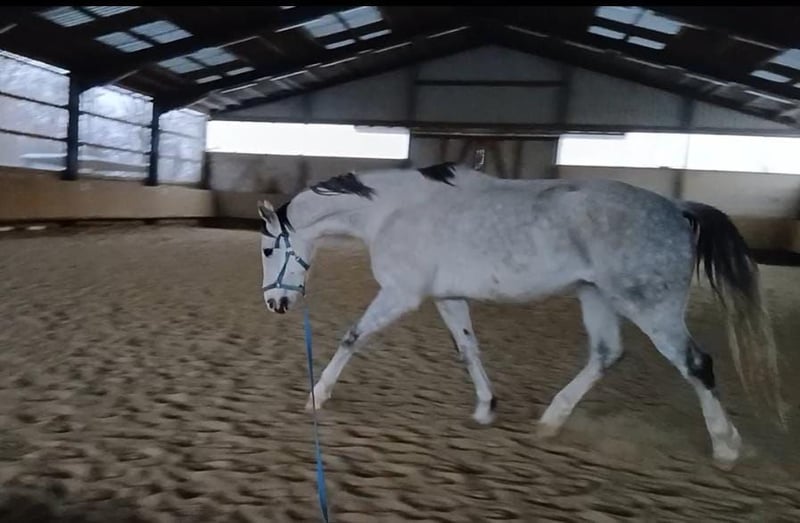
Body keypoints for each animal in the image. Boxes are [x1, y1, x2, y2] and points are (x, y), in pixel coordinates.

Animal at [257, 161, 785, 470]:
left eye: (266, 249)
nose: (275, 305)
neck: (392, 212)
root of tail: (677, 207)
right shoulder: (446, 297)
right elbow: (468, 349)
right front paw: (486, 408)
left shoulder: (401, 294)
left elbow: (352, 337)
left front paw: (316, 397)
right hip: (595, 296)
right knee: (606, 354)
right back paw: (551, 421)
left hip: (650, 304)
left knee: (697, 365)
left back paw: (726, 447)